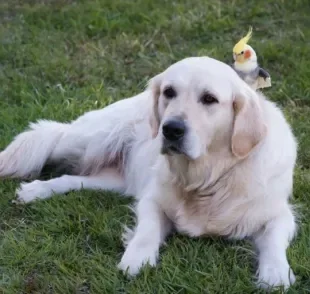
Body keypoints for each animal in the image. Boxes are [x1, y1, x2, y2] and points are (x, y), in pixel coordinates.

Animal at [0, 56, 296, 288]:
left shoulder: (280, 214)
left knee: (74, 178)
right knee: (52, 137)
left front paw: (276, 274)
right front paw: (136, 259)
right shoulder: (151, 199)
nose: (172, 129)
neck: (205, 178)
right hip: (85, 142)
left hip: (113, 180)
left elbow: (273, 240)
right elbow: (148, 229)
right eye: (169, 92)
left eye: (209, 99)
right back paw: (33, 188)